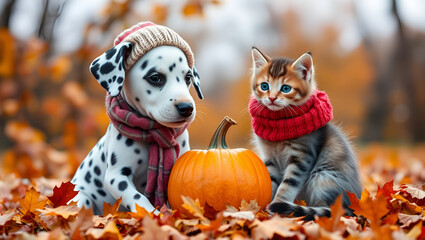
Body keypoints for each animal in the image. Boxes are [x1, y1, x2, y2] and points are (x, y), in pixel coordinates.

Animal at [70, 38, 203, 215]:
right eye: (155, 77)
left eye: (188, 77)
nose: (186, 107)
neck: (153, 134)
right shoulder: (116, 176)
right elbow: (139, 199)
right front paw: (154, 216)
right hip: (81, 198)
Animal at [248, 47, 362, 221]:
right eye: (264, 86)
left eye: (285, 88)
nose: (272, 98)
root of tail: (355, 203)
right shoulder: (269, 158)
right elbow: (271, 181)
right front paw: (263, 209)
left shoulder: (302, 156)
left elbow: (287, 184)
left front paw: (276, 205)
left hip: (324, 176)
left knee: (330, 209)